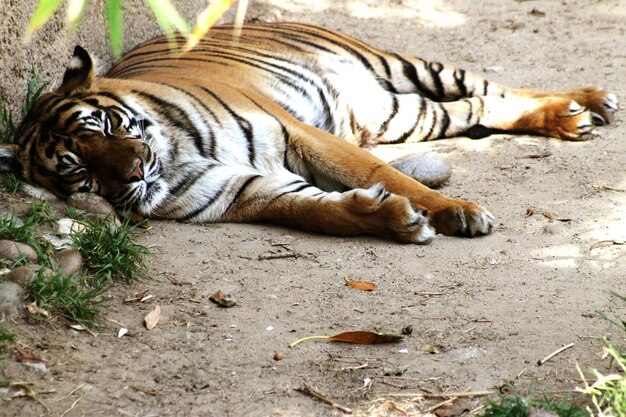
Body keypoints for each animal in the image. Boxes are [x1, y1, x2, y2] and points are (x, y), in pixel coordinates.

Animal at [0, 22, 616, 242]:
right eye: (80, 173)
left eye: (104, 125)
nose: (132, 172)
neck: (173, 158)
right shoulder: (238, 190)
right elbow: (313, 210)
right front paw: (393, 220)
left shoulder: (303, 134)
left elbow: (384, 173)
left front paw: (457, 211)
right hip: (401, 113)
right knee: (479, 106)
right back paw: (570, 116)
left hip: (402, 66)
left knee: (491, 86)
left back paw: (588, 103)